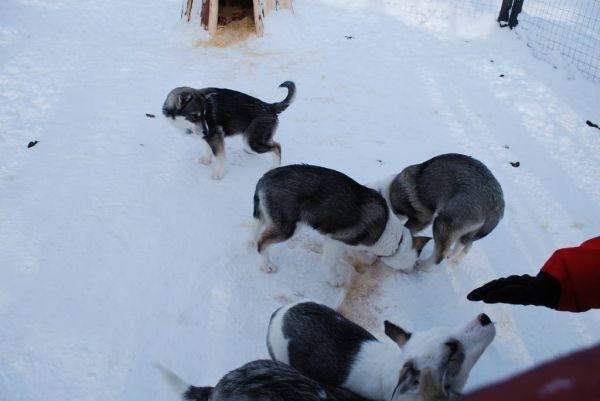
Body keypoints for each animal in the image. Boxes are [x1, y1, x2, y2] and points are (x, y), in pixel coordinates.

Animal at [162, 80, 296, 179]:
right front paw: (206, 159)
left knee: (277, 147)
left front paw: (218, 173)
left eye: (204, 114)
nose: (206, 130)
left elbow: (219, 157)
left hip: (252, 142)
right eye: (194, 115)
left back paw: (274, 167)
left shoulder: (215, 135)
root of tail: (270, 107)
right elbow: (207, 147)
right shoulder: (207, 136)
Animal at [251, 164, 428, 286]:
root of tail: (265, 178)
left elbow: (359, 253)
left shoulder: (352, 242)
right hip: (287, 226)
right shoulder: (335, 241)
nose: (412, 271)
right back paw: (266, 265)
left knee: (257, 229)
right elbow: (330, 262)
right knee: (262, 242)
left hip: (270, 217)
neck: (396, 240)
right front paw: (334, 279)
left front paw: (367, 259)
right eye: (414, 262)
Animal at [372, 153, 504, 268]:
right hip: (468, 232)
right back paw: (454, 259)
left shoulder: (422, 218)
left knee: (439, 256)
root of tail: (496, 208)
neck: (386, 193)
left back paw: (424, 265)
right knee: (465, 245)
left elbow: (409, 228)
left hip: (443, 223)